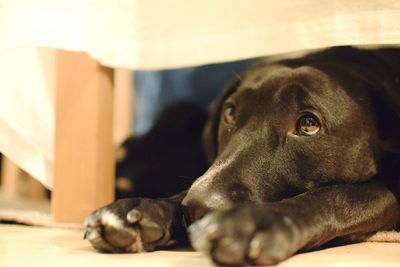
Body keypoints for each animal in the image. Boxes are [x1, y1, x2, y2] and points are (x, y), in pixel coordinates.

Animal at [84, 47, 400, 266]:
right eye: (230, 112)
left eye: (309, 124)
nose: (197, 209)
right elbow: (184, 190)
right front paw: (142, 209)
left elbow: (340, 195)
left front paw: (258, 221)